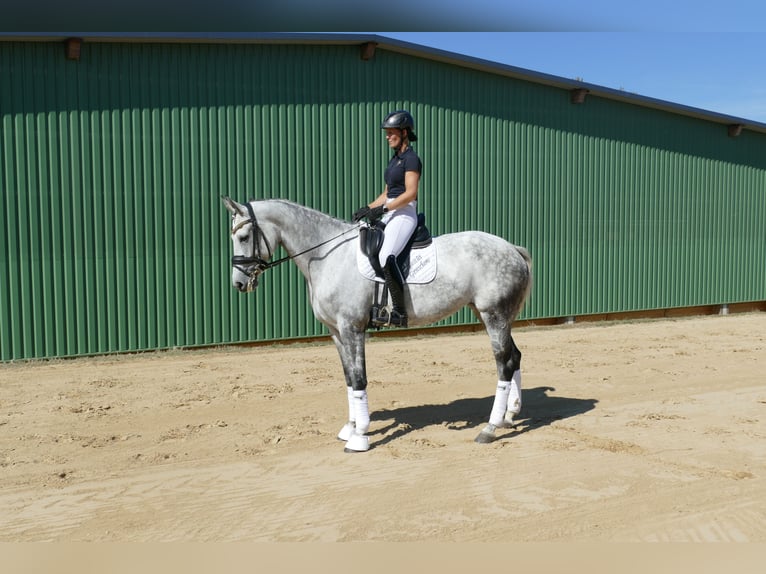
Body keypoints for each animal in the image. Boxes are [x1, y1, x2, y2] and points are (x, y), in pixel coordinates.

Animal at [224, 198, 536, 454]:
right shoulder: (336, 332)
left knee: (503, 362)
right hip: (491, 315)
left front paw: (360, 436)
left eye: (243, 236)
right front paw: (350, 428)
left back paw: (490, 428)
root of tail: (512, 248)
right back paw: (510, 416)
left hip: (494, 315)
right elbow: (349, 378)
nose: (239, 284)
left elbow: (359, 378)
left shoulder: (352, 328)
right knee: (515, 357)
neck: (326, 255)